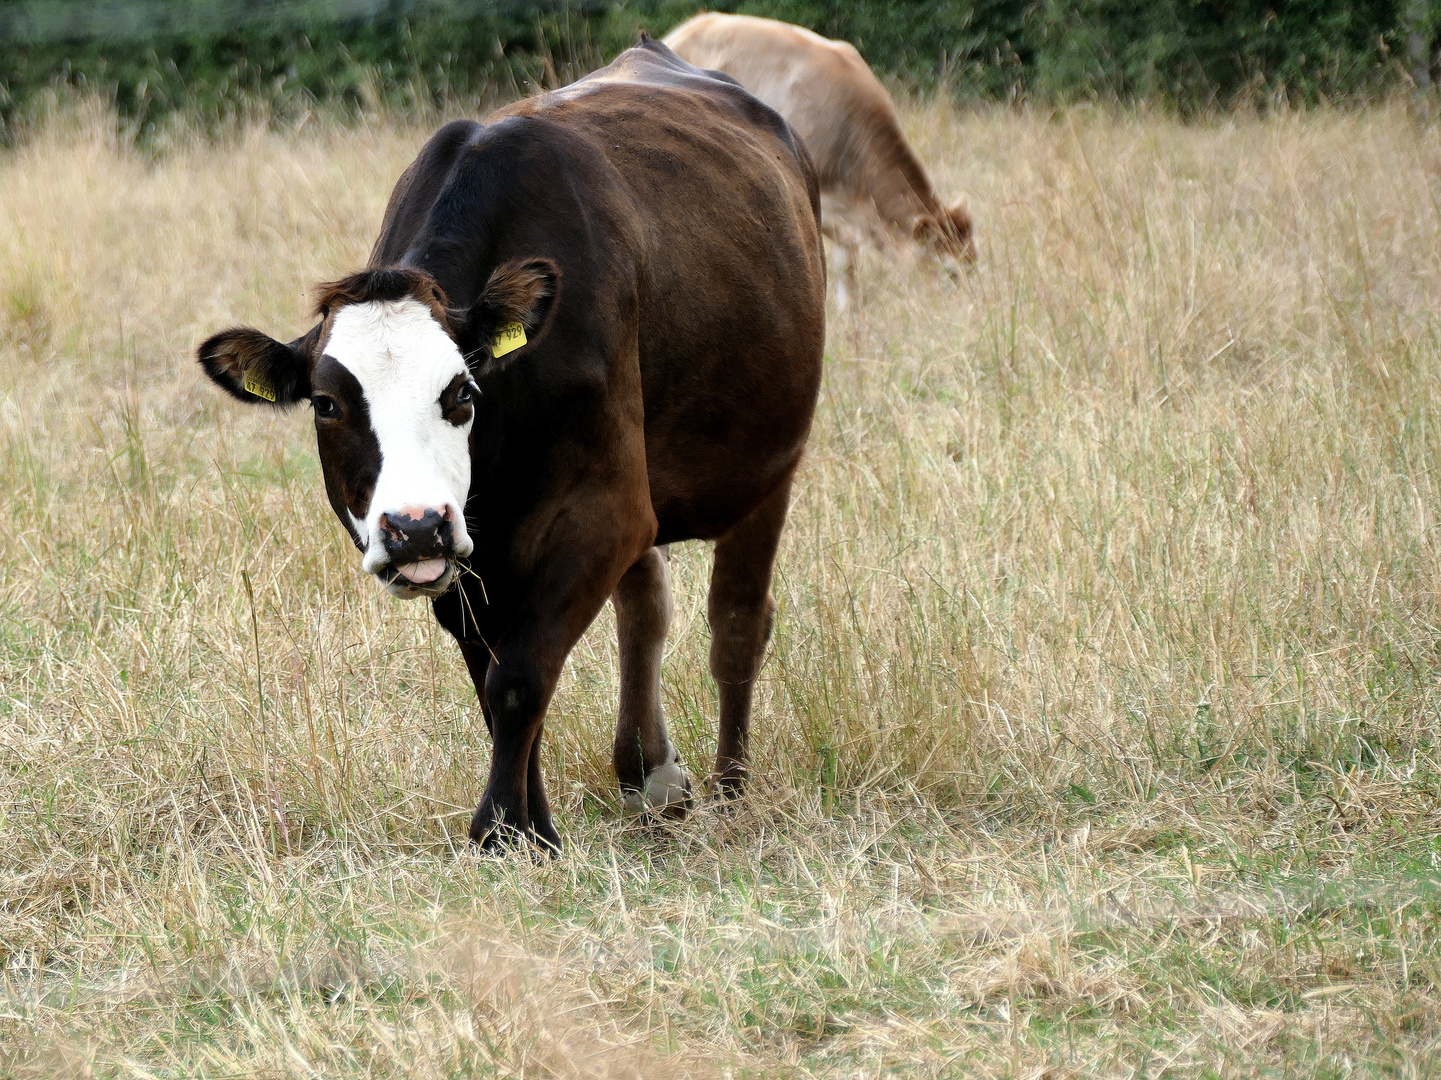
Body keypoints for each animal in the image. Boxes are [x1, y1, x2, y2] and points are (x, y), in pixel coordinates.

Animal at [194, 37, 824, 853]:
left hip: (766, 469)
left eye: (462, 392)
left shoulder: (606, 513)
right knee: (646, 611)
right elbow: (493, 681)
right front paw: (532, 826)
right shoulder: (473, 561)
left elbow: (520, 676)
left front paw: (500, 830)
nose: (414, 527)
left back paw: (732, 786)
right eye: (327, 403)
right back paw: (650, 772)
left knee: (737, 625)